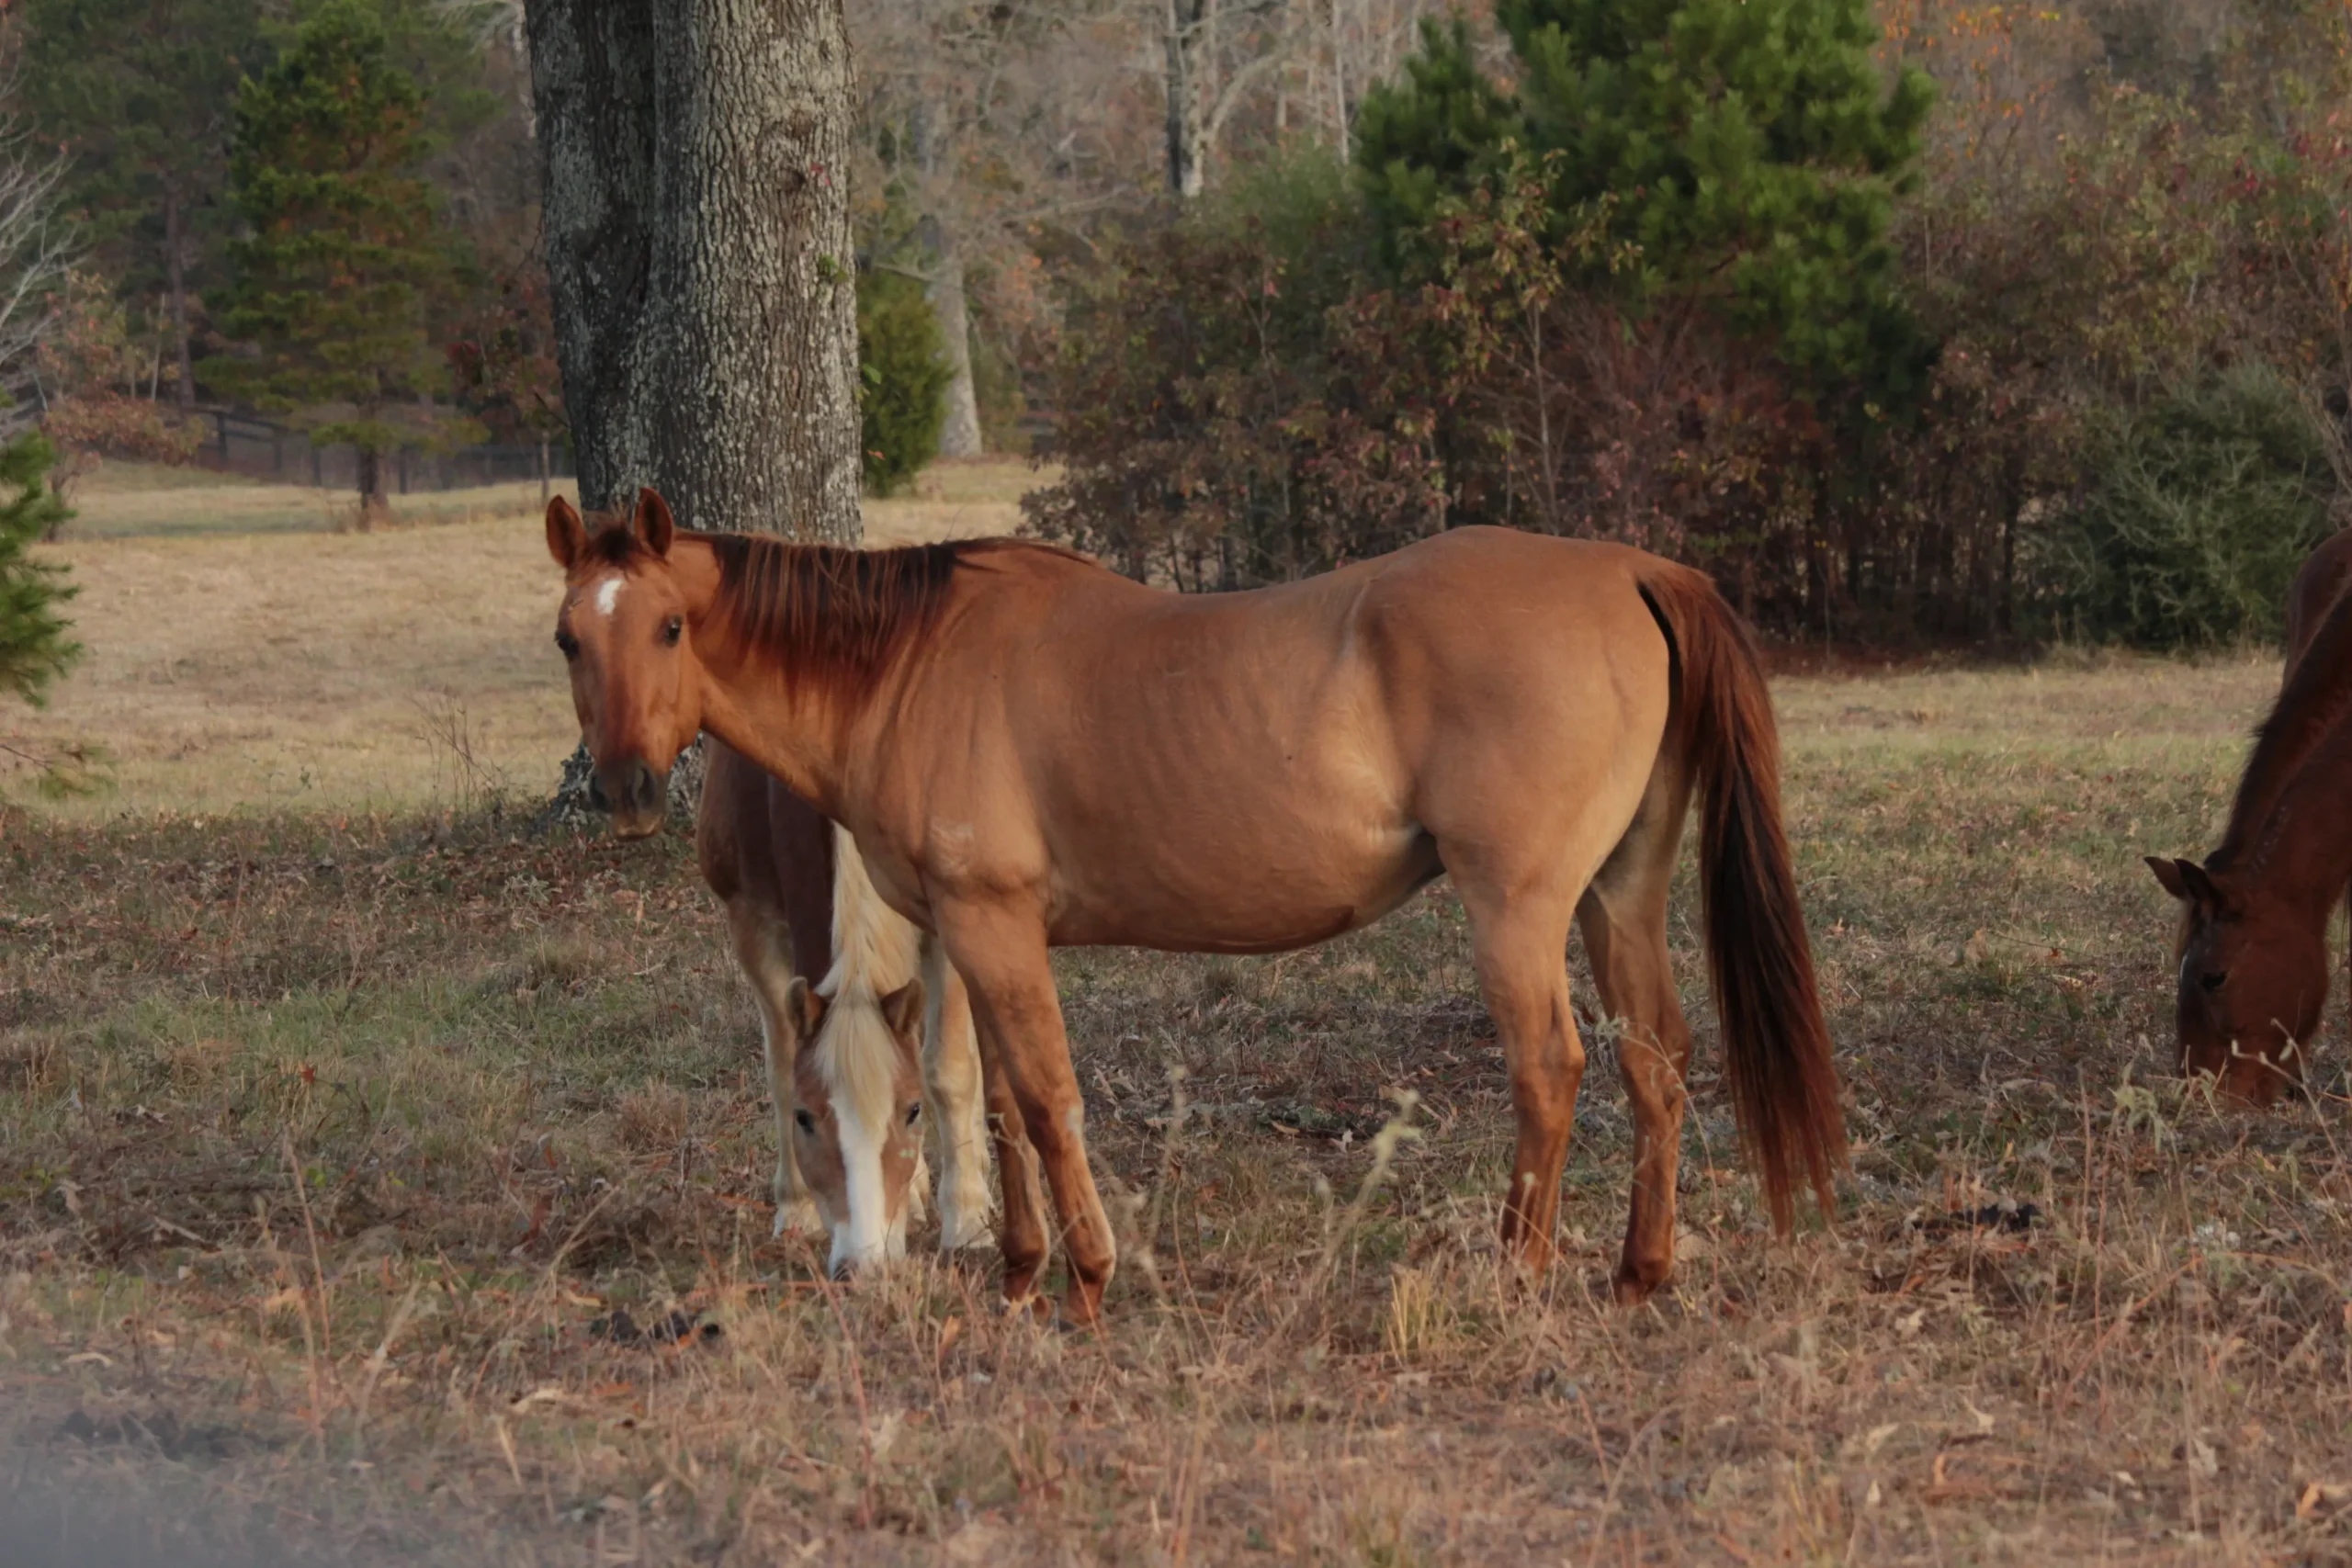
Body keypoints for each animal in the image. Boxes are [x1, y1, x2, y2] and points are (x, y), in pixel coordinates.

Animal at [687, 699, 996, 1276]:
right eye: (806, 1119)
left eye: (911, 1111)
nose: (865, 1265)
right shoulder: (751, 920)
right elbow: (783, 1068)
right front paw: (796, 1211)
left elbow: (949, 1070)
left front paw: (967, 1224)